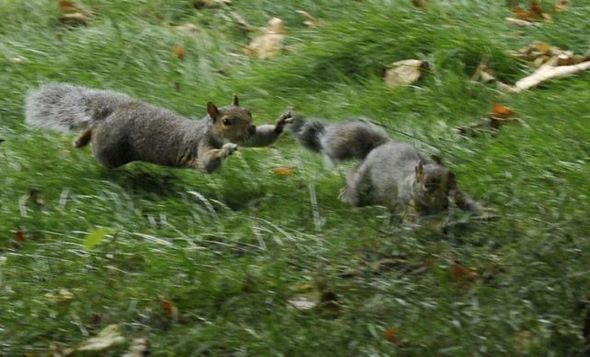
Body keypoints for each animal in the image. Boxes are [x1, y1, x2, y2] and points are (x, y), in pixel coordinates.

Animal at [25, 83, 294, 172]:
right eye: (226, 121)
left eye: (248, 113)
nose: (250, 128)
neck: (207, 129)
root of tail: (113, 112)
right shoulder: (199, 144)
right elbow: (207, 163)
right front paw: (226, 150)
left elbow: (262, 140)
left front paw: (281, 123)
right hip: (109, 150)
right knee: (96, 139)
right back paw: (82, 140)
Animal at [292, 116, 494, 220]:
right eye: (427, 185)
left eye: (453, 176)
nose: (450, 194)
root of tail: (380, 146)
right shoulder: (407, 205)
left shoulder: (461, 197)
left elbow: (469, 203)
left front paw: (485, 213)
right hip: (363, 179)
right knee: (353, 179)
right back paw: (350, 198)